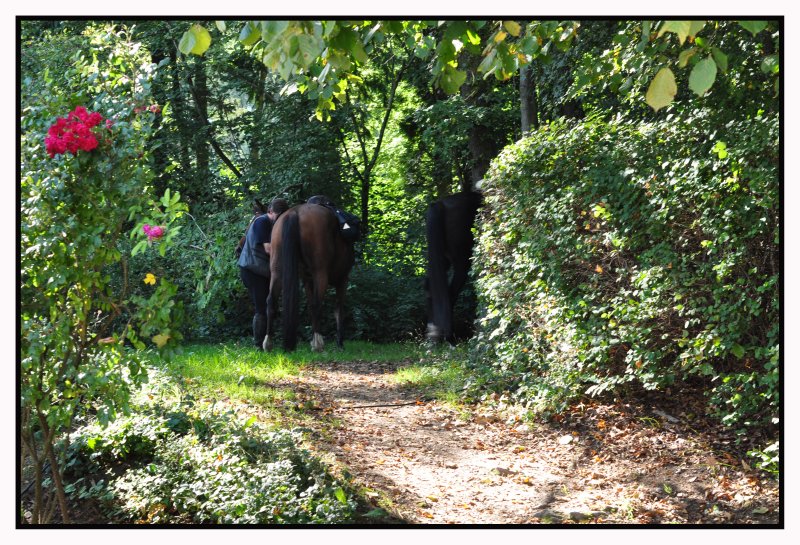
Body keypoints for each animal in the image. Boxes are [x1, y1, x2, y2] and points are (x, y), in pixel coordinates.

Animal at [266, 202, 354, 350]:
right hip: (320, 273)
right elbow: (338, 309)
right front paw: (339, 342)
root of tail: (294, 212)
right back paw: (319, 344)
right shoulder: (343, 279)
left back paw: (268, 343)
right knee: (317, 304)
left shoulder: (307, 281)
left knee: (271, 301)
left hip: (277, 272)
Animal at [424, 190, 482, 340]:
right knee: (451, 293)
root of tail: (439, 204)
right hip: (462, 262)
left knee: (432, 288)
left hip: (443, 259)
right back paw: (449, 337)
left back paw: (434, 335)